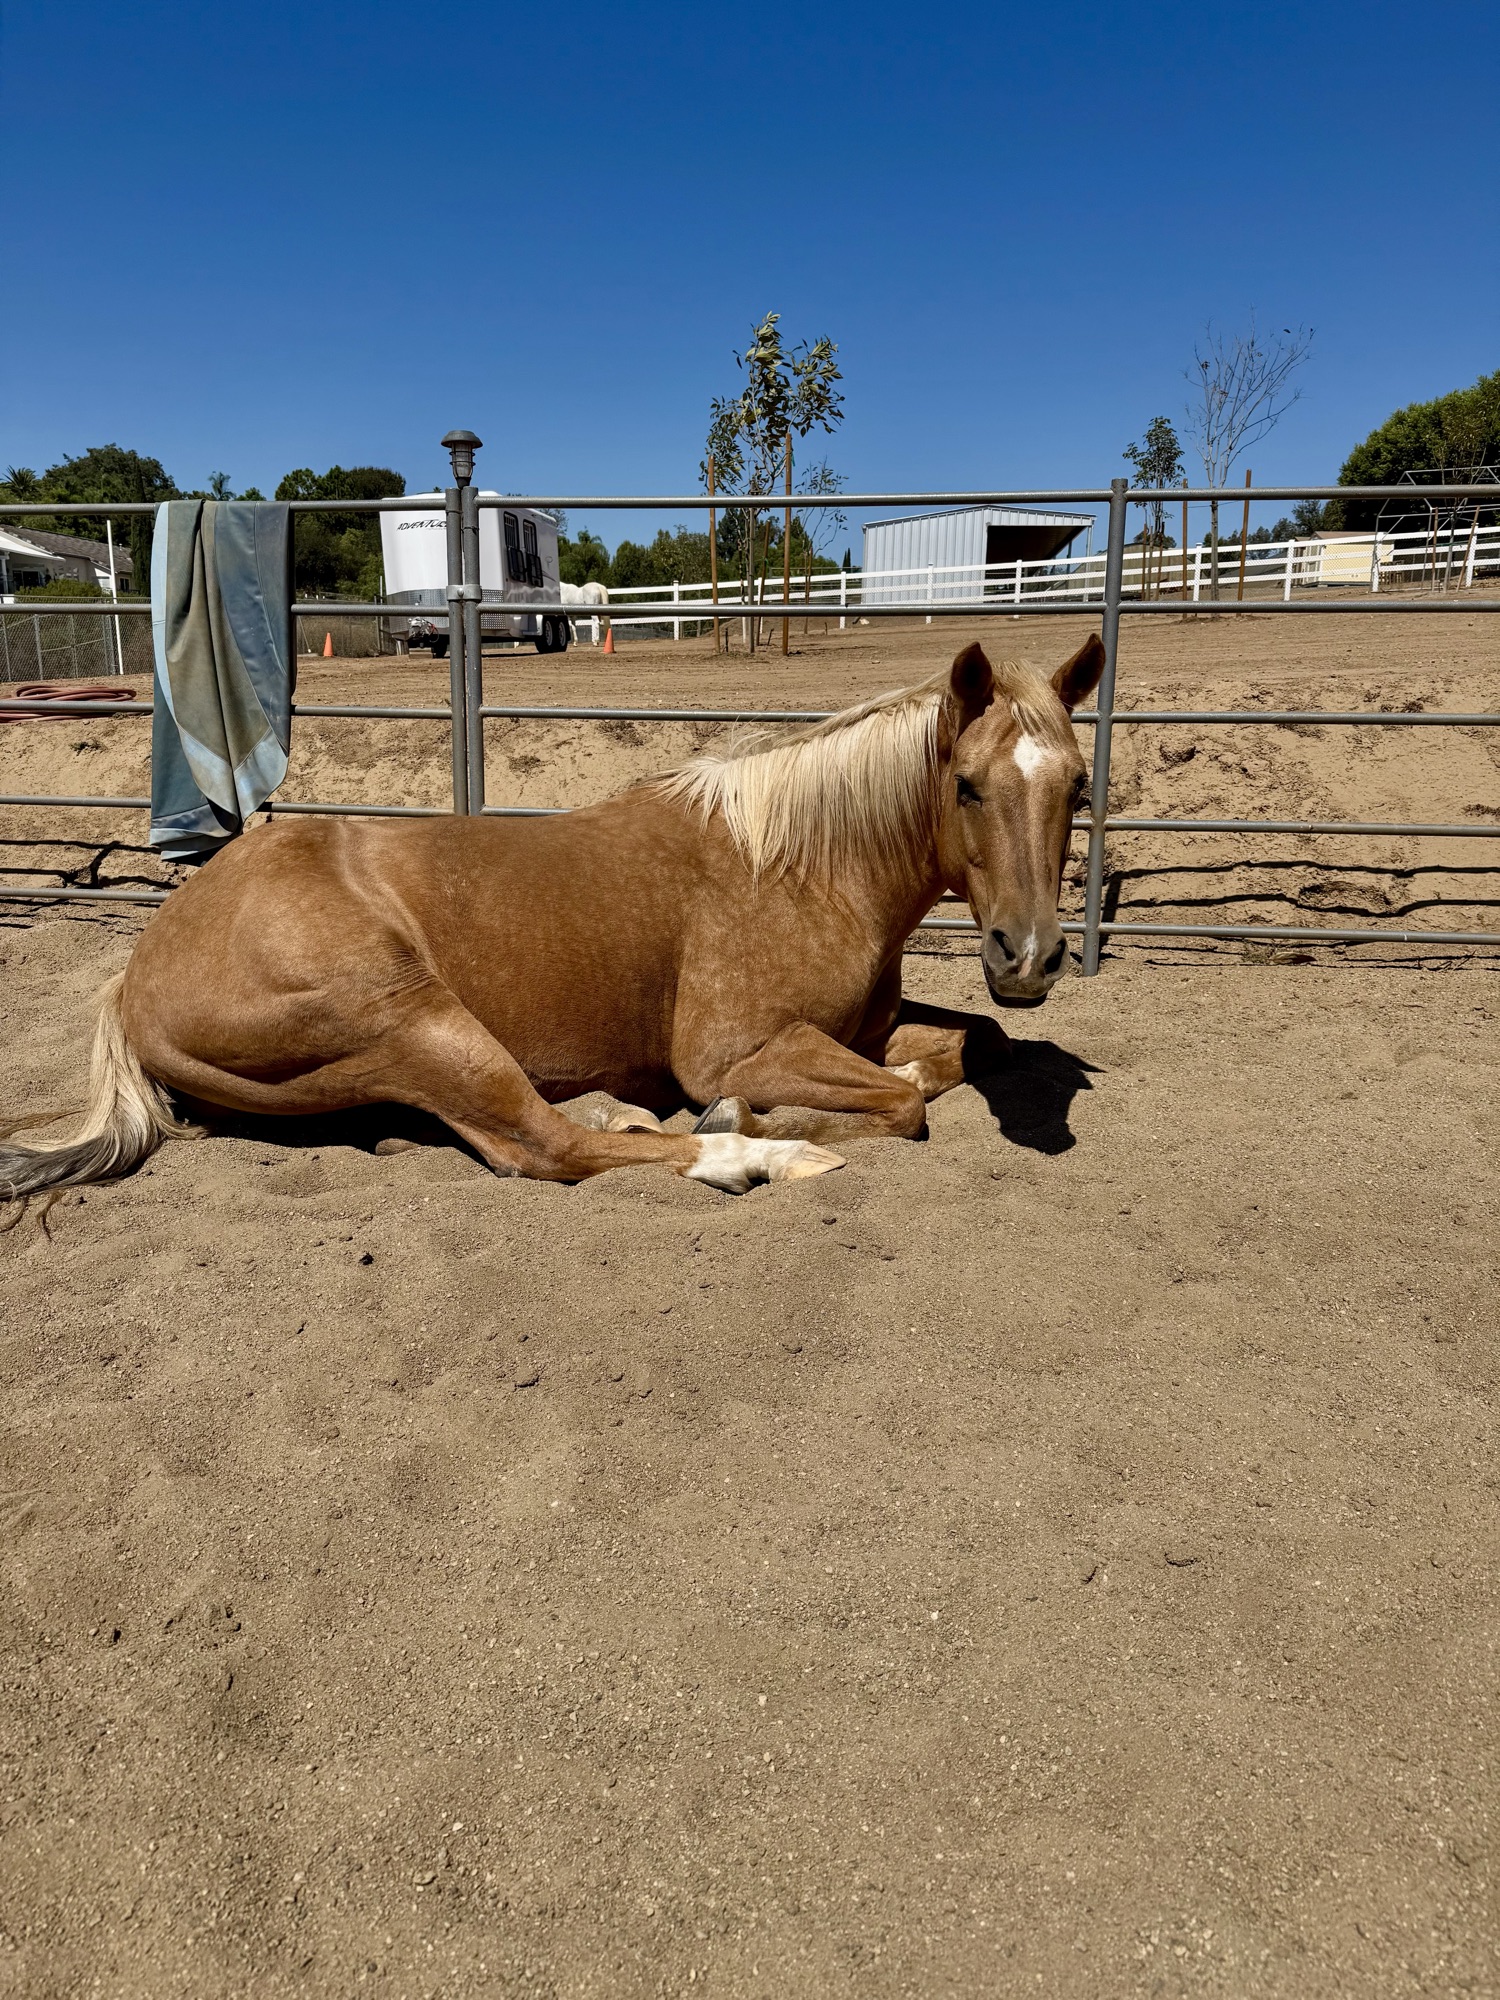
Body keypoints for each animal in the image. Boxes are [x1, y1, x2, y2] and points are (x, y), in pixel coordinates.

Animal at [0, 636, 1104, 1200]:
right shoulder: (740, 1047)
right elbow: (901, 1103)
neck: (801, 865)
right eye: (966, 785)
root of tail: (134, 977)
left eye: (1080, 787)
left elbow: (970, 1044)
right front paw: (749, 1117)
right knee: (542, 1146)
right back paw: (752, 1154)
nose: (1031, 955)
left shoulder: (866, 1029)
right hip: (408, 1015)